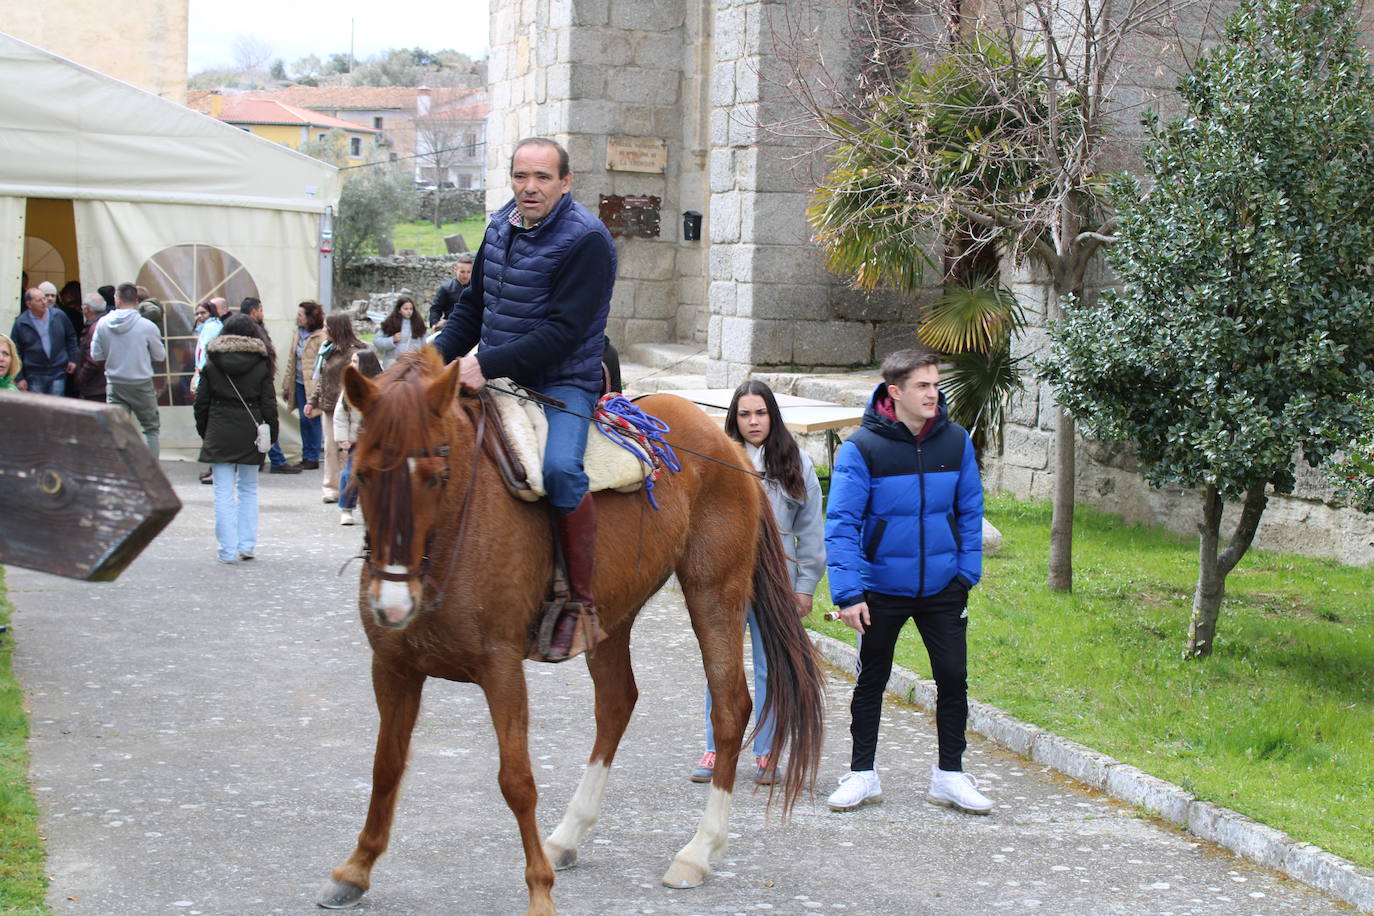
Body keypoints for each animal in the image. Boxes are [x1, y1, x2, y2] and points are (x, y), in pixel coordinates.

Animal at [316, 347, 818, 911]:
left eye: (436, 475)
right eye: (364, 471)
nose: (393, 604)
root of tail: (726, 445)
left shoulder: (501, 669)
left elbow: (516, 780)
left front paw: (539, 892)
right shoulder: (393, 667)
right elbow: (386, 766)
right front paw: (356, 869)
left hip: (714, 593)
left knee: (729, 708)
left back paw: (697, 851)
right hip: (612, 615)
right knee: (617, 703)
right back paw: (568, 835)